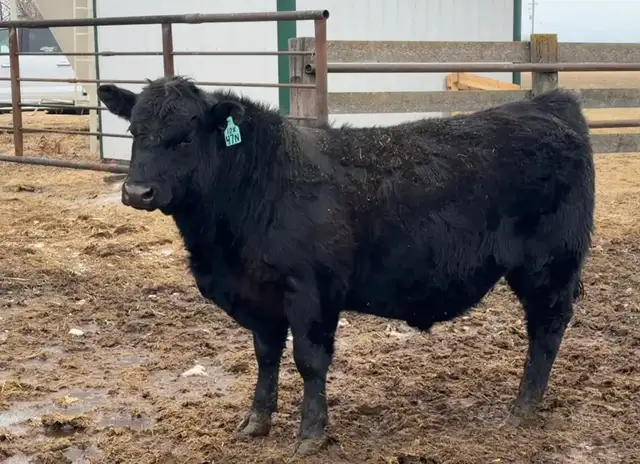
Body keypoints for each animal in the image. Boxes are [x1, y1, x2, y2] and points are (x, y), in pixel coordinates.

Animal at [97, 76, 595, 456]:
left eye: (185, 136)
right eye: (135, 132)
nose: (137, 191)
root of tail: (548, 104)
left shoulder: (311, 291)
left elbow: (309, 361)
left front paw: (310, 436)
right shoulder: (260, 298)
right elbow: (265, 357)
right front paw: (256, 421)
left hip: (548, 267)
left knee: (546, 330)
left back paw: (522, 410)